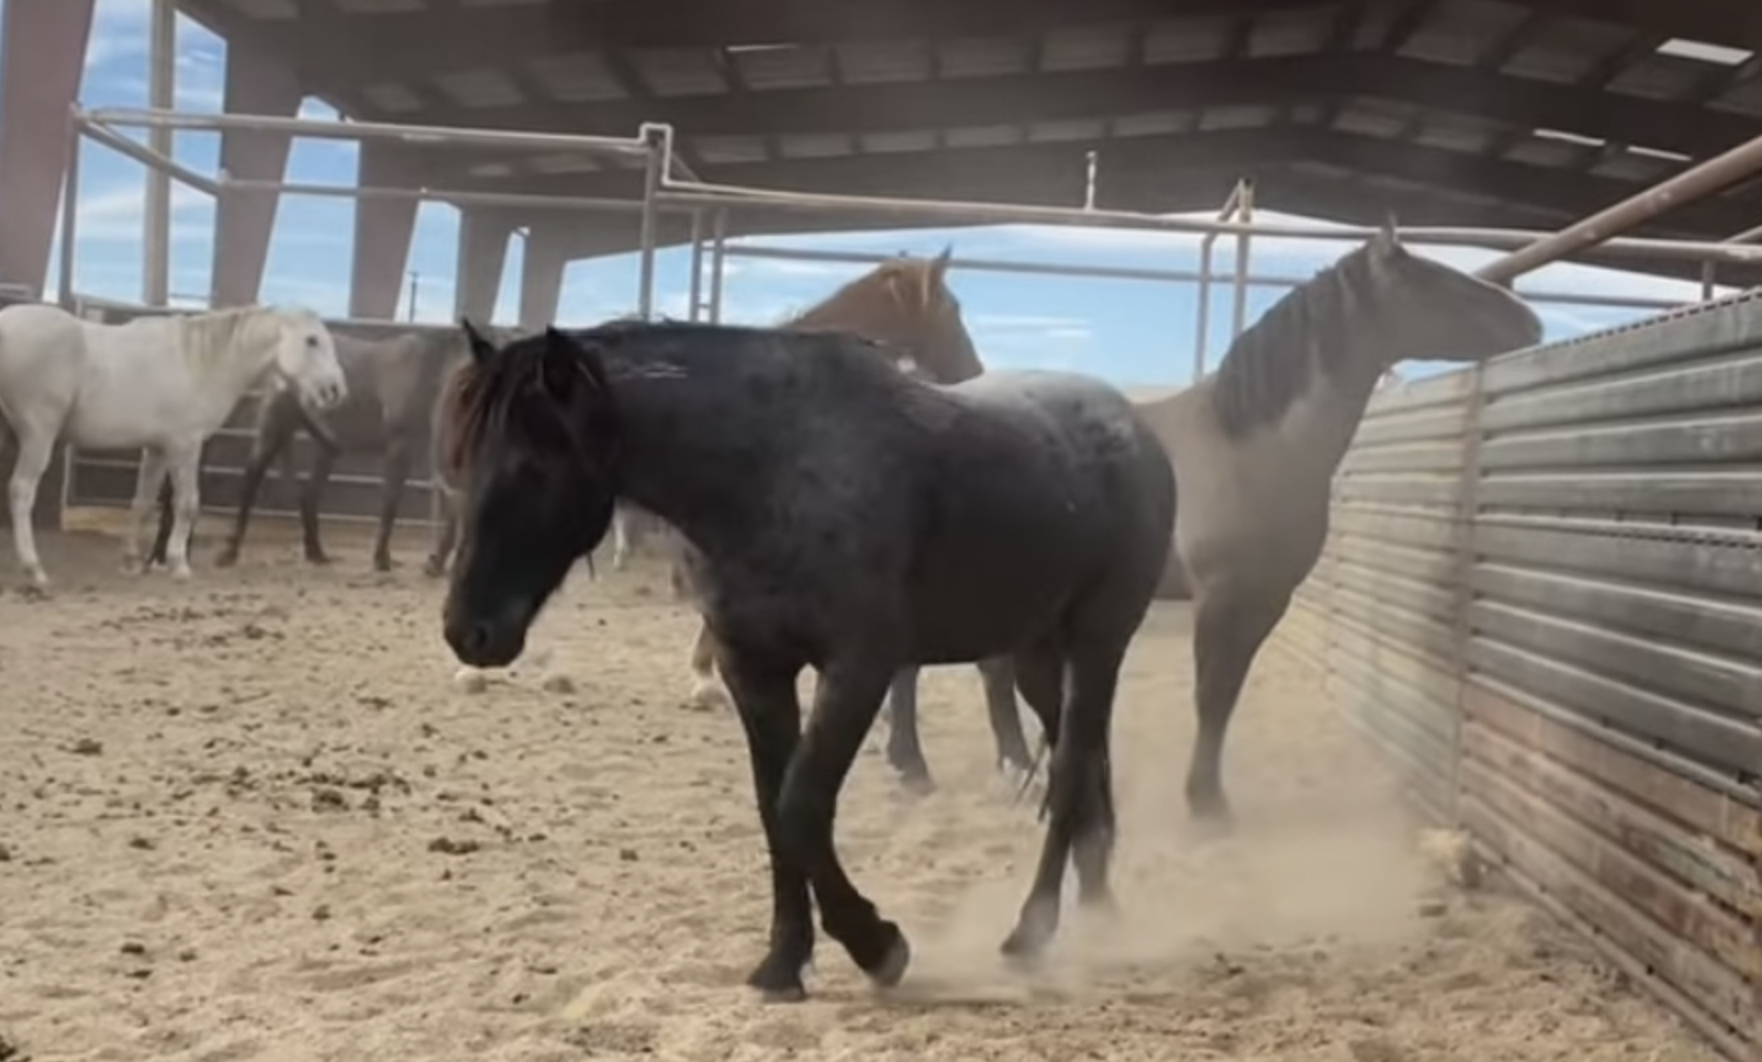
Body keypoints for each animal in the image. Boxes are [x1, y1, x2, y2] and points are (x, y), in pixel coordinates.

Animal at [0, 302, 347, 588]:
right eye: (312, 340)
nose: (335, 389)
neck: (198, 363)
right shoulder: (186, 446)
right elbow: (187, 503)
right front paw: (179, 565)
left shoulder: (156, 449)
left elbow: (143, 501)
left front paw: (131, 561)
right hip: (38, 435)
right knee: (21, 491)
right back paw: (35, 571)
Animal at [145, 327, 464, 573]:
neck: (430, 376)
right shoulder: (402, 446)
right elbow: (392, 502)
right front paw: (383, 559)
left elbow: (452, 508)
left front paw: (434, 562)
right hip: (276, 426)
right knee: (251, 481)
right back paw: (229, 552)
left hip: (321, 445)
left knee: (308, 495)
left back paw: (316, 553)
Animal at [438, 318, 1175, 999]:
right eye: (465, 465)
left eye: (533, 468)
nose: (466, 632)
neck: (767, 469)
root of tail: (1136, 431)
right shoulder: (754, 672)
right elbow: (775, 814)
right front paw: (783, 964)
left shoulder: (857, 670)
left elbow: (800, 806)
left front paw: (878, 945)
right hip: (1035, 657)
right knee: (1088, 772)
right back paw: (1100, 911)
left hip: (1097, 644)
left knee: (1071, 773)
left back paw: (1032, 931)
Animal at [1134, 220, 1542, 829]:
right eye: (1432, 280)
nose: (1531, 320)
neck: (1249, 444)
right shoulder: (1220, 597)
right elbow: (1210, 695)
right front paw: (1205, 805)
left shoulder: (1265, 598)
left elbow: (1226, 697)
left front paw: (1209, 797)